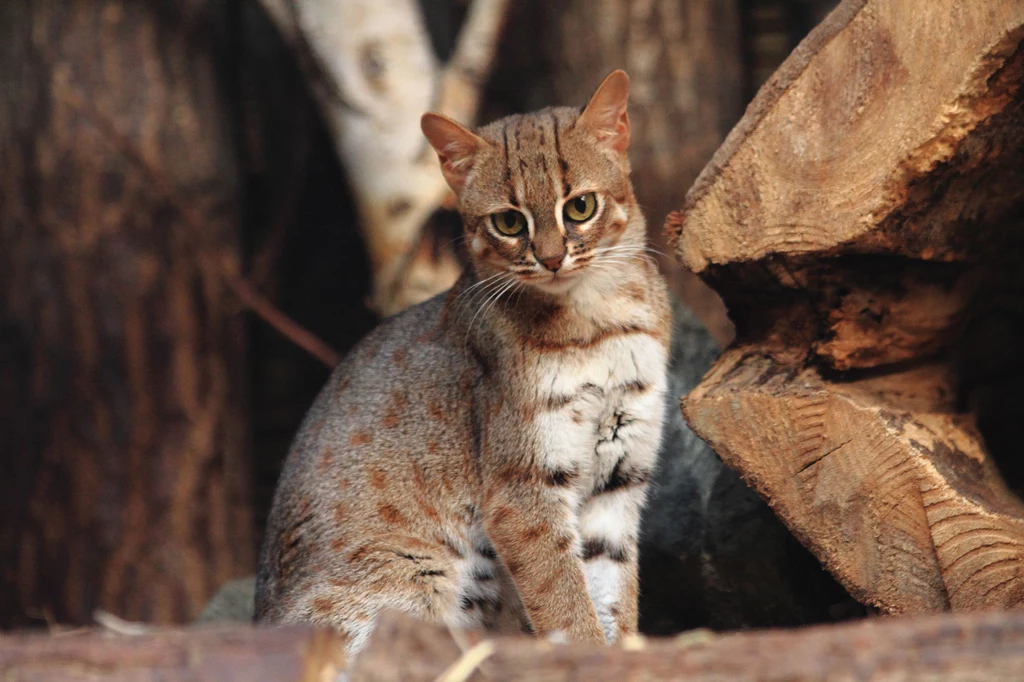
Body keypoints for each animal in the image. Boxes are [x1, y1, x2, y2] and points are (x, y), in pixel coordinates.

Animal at [256, 69, 671, 655]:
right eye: (508, 223)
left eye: (580, 207)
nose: (551, 259)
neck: (599, 322)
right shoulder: (520, 491)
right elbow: (566, 602)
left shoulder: (620, 473)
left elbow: (612, 593)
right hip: (415, 575)